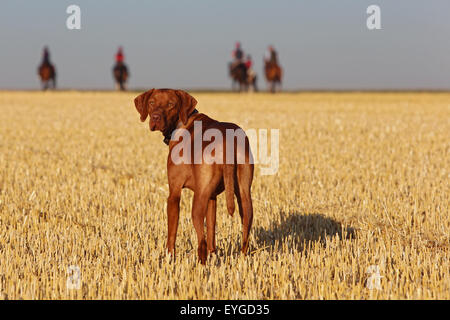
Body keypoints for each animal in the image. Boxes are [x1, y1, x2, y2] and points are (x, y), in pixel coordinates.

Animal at [134, 89, 253, 264]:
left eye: (171, 104)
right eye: (151, 102)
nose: (155, 118)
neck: (183, 123)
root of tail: (227, 141)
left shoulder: (174, 193)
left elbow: (172, 234)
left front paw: (169, 258)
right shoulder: (212, 197)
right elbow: (211, 230)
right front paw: (213, 255)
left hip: (198, 201)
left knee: (201, 241)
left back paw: (200, 265)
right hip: (244, 195)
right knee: (245, 230)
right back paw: (241, 260)